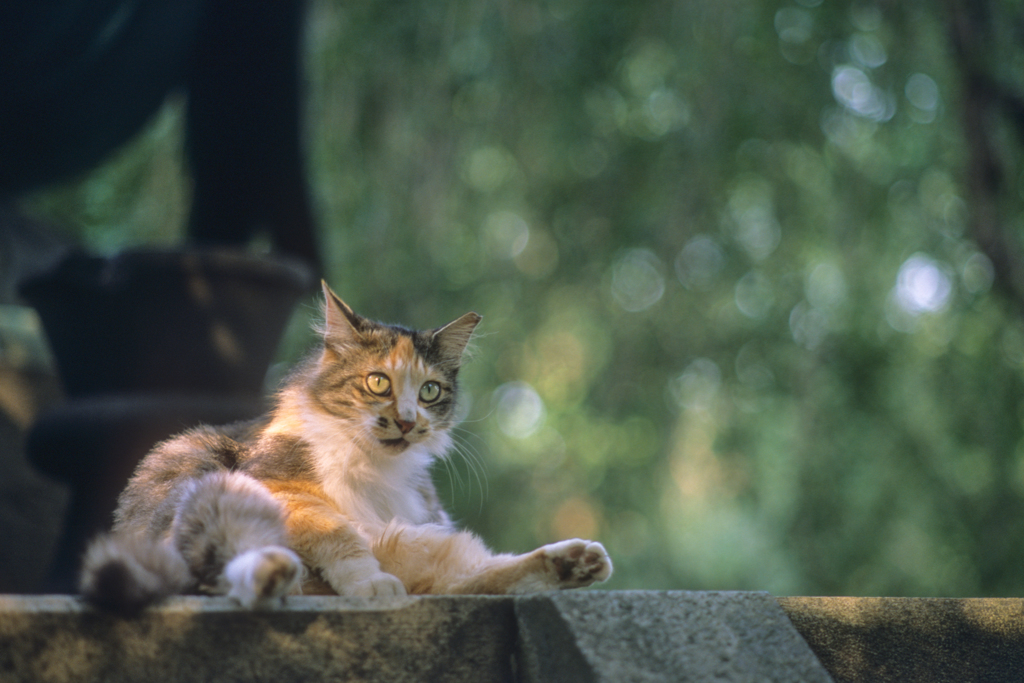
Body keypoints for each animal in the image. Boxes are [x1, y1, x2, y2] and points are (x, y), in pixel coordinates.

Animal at [79, 282, 610, 614]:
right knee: (220, 570)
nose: (407, 421)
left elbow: (470, 574)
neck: (378, 472)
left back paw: (574, 562)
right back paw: (277, 575)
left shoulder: (424, 523)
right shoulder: (285, 490)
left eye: (430, 391)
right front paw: (372, 584)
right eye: (378, 382)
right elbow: (343, 537)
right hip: (216, 497)